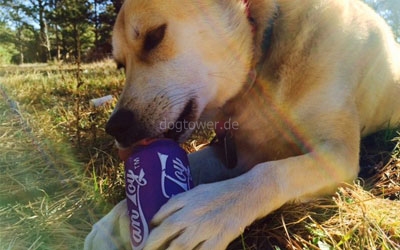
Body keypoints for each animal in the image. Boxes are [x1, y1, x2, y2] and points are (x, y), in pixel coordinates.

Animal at [85, 0, 400, 250]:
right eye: (120, 65)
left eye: (154, 36)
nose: (115, 128)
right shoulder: (239, 150)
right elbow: (191, 162)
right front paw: (117, 220)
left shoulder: (338, 154)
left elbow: (270, 173)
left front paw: (207, 212)